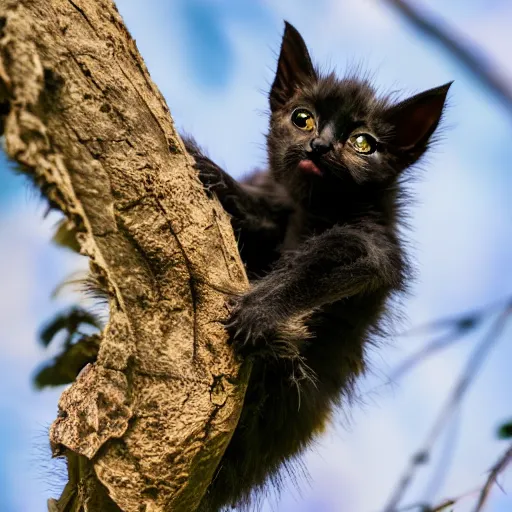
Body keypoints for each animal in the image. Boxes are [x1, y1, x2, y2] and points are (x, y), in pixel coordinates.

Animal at [186, 21, 450, 512]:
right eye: (302, 118)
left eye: (363, 143)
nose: (320, 145)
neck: (314, 212)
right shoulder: (278, 208)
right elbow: (261, 216)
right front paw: (214, 175)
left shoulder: (373, 246)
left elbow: (309, 270)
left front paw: (258, 313)